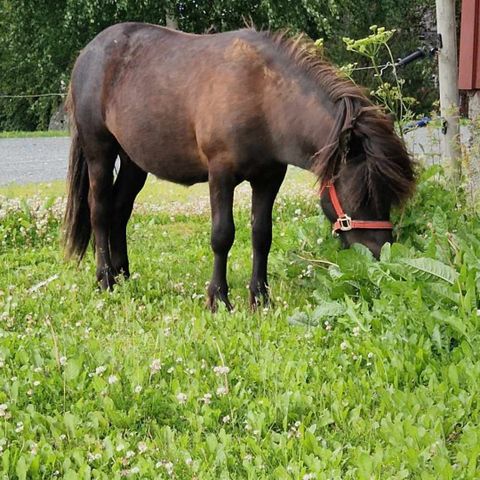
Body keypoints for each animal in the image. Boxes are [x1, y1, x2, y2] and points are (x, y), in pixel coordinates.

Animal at [64, 22, 416, 310]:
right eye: (361, 195)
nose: (381, 253)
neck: (262, 96)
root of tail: (88, 53)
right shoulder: (220, 175)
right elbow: (222, 235)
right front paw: (218, 298)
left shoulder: (269, 177)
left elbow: (262, 235)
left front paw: (260, 297)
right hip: (99, 151)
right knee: (101, 211)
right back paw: (105, 279)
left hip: (135, 161)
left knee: (120, 211)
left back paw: (124, 274)